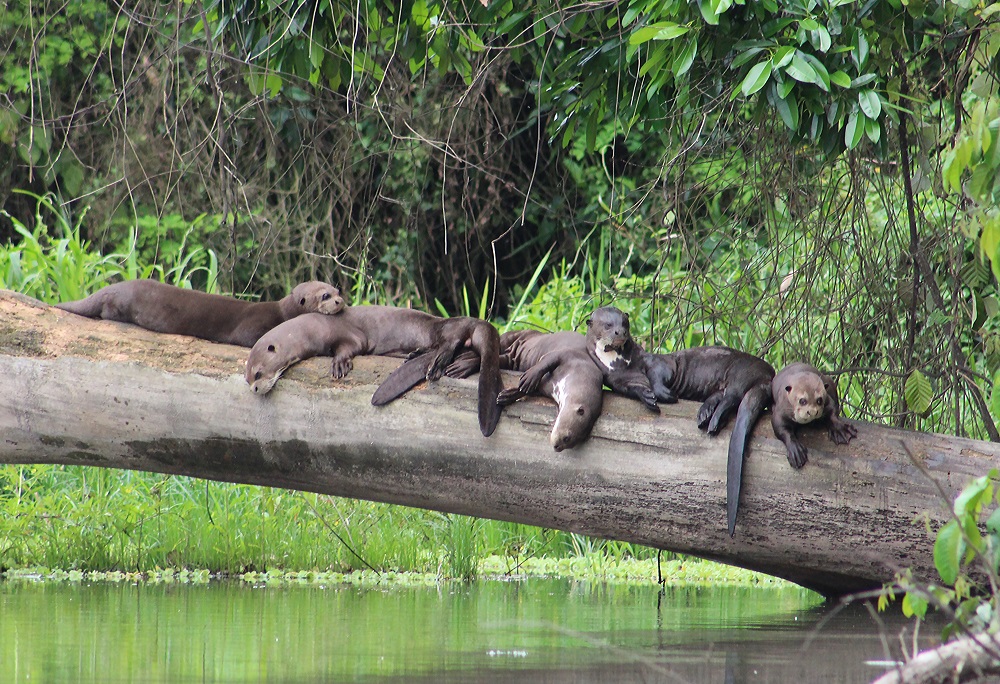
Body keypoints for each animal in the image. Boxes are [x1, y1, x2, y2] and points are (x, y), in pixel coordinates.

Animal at [244, 305, 502, 437]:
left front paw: (339, 364)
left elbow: (350, 347)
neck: (311, 329)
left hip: (445, 328)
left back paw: (438, 361)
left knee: (453, 340)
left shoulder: (350, 334)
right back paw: (415, 355)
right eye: (246, 379)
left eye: (258, 374)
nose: (254, 389)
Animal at [446, 330, 604, 451]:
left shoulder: (547, 386)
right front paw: (529, 378)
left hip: (511, 358)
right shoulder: (569, 355)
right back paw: (461, 366)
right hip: (510, 338)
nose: (557, 447)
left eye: (571, 442)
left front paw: (506, 396)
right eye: (567, 438)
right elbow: (546, 361)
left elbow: (529, 390)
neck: (580, 370)